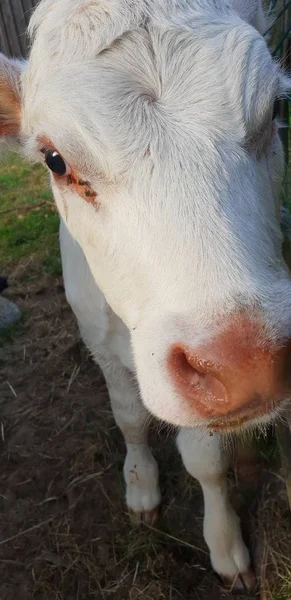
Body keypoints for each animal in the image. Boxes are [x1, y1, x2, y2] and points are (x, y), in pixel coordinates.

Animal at [0, 0, 291, 592]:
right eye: (55, 160)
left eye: (275, 107)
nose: (246, 362)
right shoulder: (98, 338)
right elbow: (129, 417)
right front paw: (141, 489)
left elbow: (205, 459)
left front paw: (225, 546)